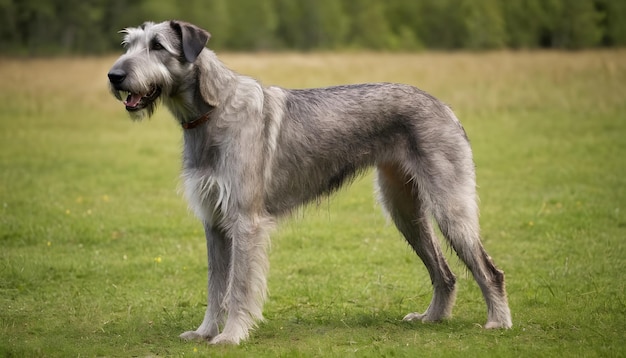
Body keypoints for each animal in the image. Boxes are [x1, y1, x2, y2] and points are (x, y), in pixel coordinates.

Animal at [105, 21, 510, 346]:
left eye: (158, 45)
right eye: (130, 43)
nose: (113, 76)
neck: (213, 109)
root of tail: (445, 107)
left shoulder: (245, 222)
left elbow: (238, 287)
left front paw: (231, 336)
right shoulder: (214, 223)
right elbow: (215, 284)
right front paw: (205, 332)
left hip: (449, 209)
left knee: (489, 270)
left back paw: (498, 322)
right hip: (405, 212)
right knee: (445, 273)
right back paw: (432, 318)